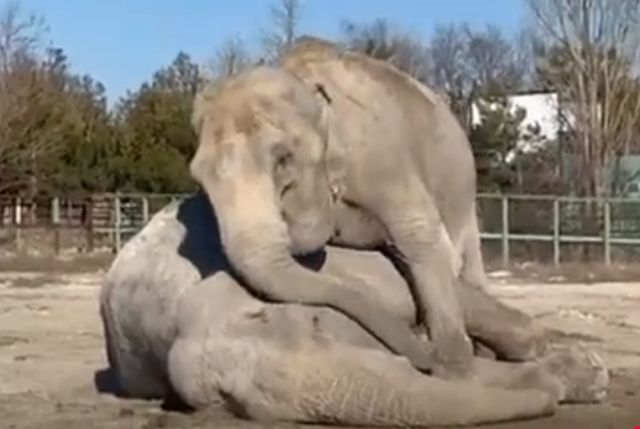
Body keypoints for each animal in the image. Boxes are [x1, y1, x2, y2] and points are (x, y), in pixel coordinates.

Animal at [189, 36, 544, 377]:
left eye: (283, 159)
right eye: (198, 175)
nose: (424, 357)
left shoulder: (382, 158)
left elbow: (420, 235)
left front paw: (454, 372)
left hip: (462, 194)